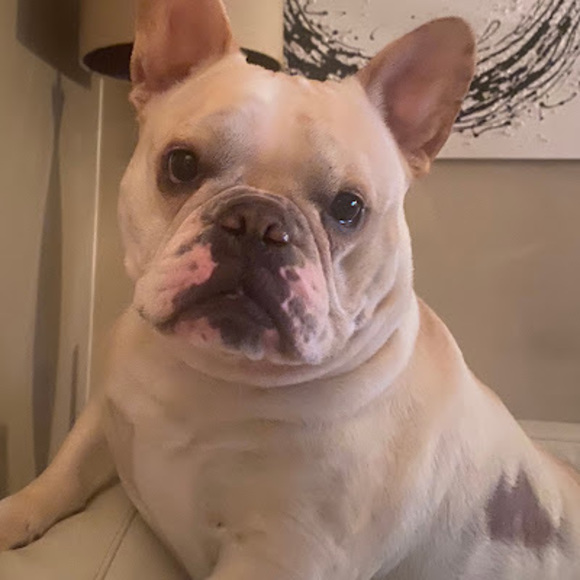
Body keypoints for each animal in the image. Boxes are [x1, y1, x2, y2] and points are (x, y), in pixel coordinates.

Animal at [1, 0, 579, 578]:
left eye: (349, 208)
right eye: (180, 164)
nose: (258, 222)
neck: (209, 375)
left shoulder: (281, 556)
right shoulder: (102, 415)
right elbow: (63, 470)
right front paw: (13, 515)